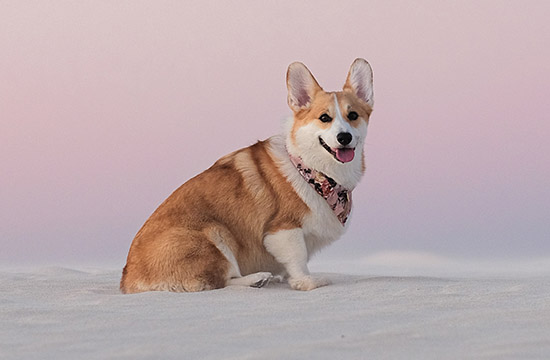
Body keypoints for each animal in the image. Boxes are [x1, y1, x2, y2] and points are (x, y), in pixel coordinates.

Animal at [121, 58, 376, 292]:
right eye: (324, 118)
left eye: (353, 115)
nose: (344, 137)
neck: (314, 170)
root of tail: (128, 277)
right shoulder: (284, 230)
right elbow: (298, 259)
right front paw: (307, 282)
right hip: (215, 233)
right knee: (220, 281)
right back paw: (257, 278)